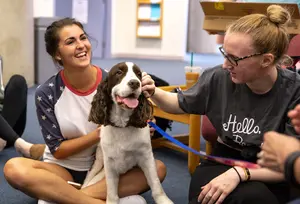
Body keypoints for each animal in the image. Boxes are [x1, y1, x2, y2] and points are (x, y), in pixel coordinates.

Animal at [82, 61, 173, 204]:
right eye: (119, 72)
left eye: (139, 74)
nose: (135, 83)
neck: (122, 125)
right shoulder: (109, 162)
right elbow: (111, 191)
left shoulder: (146, 157)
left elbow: (156, 183)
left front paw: (164, 200)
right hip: (99, 160)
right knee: (89, 178)